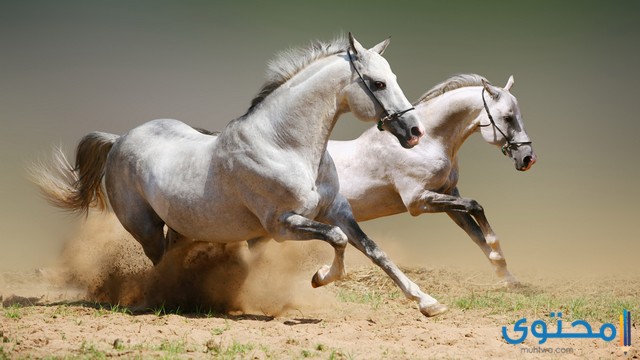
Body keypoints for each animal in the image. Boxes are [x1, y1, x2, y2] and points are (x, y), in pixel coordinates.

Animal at [330, 73, 536, 286]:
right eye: (508, 118)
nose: (528, 158)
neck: (425, 144)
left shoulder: (448, 195)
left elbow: (476, 233)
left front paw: (508, 278)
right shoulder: (417, 201)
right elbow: (475, 206)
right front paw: (497, 252)